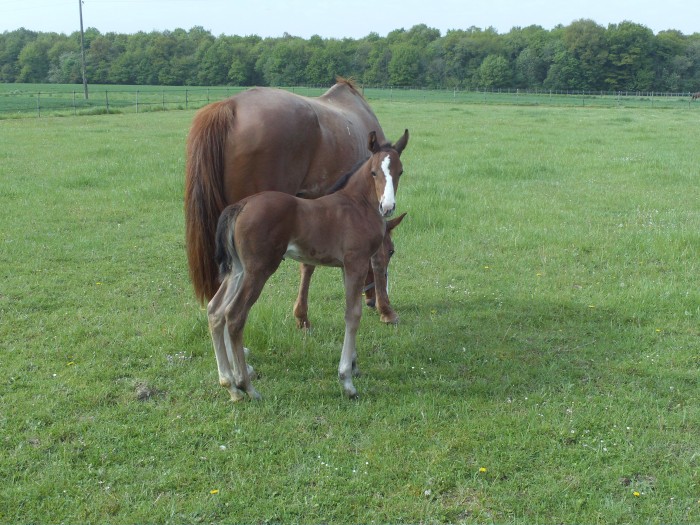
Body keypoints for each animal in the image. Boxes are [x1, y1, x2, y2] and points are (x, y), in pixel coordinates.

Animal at [183, 77, 400, 324]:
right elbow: (377, 258)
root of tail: (231, 106)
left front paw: (301, 315)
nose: (371, 300)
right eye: (392, 252)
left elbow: (307, 264)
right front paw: (387, 310)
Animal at [205, 129, 408, 400]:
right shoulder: (356, 262)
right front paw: (346, 380)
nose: (387, 207)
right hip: (258, 270)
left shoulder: (346, 267)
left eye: (399, 171)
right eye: (374, 172)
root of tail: (241, 205)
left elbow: (350, 309)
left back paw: (230, 385)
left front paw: (354, 366)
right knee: (234, 316)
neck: (357, 206)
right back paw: (247, 386)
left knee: (215, 310)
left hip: (238, 270)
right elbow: (353, 314)